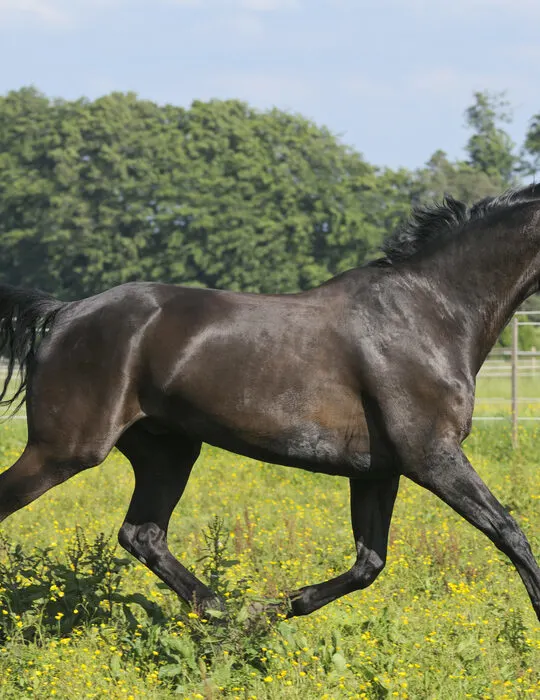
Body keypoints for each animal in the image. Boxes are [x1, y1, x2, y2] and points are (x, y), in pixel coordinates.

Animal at [0, 183, 536, 620]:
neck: (428, 312)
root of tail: (64, 312)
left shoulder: (378, 470)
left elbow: (369, 563)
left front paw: (278, 606)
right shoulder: (433, 456)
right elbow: (510, 533)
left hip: (168, 451)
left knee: (142, 534)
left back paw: (226, 615)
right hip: (66, 450)